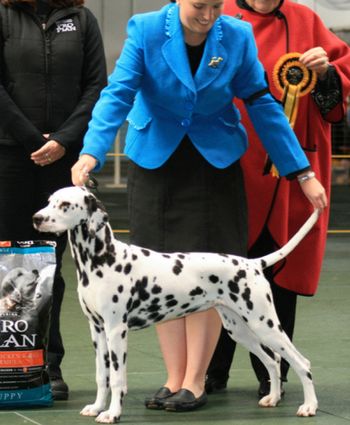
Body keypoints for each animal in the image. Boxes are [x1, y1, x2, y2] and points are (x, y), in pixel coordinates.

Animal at [33, 187, 320, 422]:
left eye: (65, 204)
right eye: (48, 201)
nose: (37, 218)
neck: (102, 259)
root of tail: (253, 263)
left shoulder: (116, 331)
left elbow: (116, 378)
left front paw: (112, 413)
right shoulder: (97, 330)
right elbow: (101, 376)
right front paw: (96, 407)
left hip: (265, 325)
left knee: (301, 363)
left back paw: (309, 406)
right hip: (239, 330)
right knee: (273, 361)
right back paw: (273, 398)